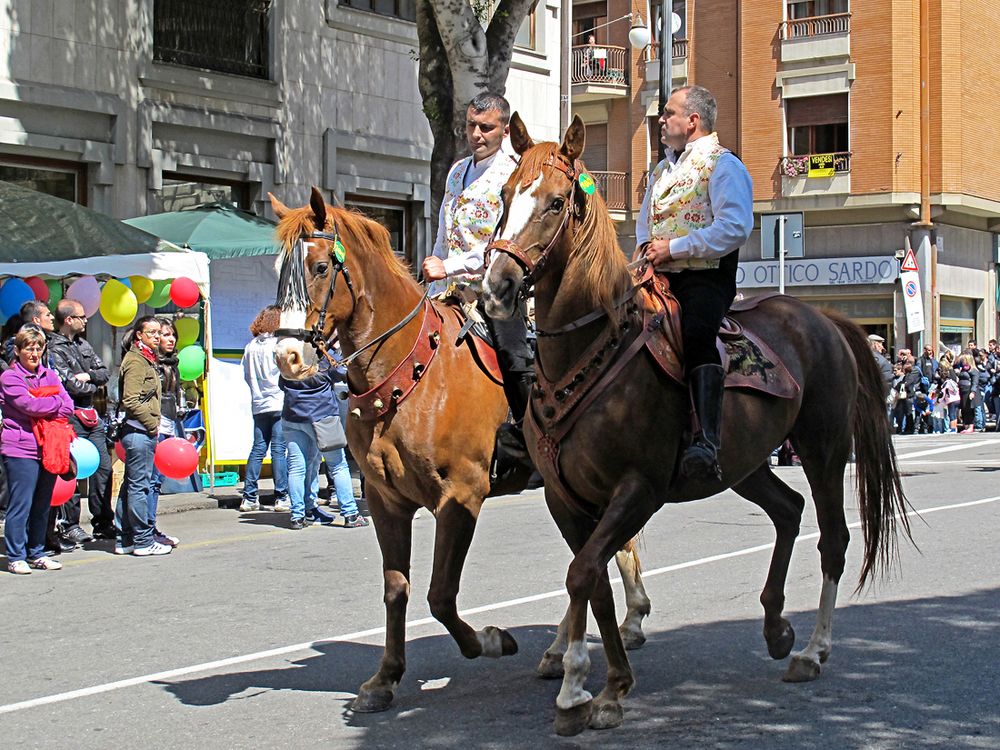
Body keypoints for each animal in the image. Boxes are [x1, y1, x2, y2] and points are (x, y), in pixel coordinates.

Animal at [270, 189, 652, 716]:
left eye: (322, 266)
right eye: (277, 269)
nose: (287, 358)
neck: (411, 373)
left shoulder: (460, 496)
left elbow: (440, 596)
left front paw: (491, 640)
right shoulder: (386, 502)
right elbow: (397, 589)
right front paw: (385, 678)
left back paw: (614, 627)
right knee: (606, 551)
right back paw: (572, 645)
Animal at [480, 117, 912, 740]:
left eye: (557, 201)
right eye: (506, 195)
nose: (496, 287)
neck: (586, 352)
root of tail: (821, 318)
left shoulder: (638, 489)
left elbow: (585, 573)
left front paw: (586, 687)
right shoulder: (567, 499)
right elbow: (592, 581)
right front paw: (598, 682)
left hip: (824, 451)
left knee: (832, 539)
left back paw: (812, 649)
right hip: (745, 464)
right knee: (788, 511)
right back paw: (776, 626)